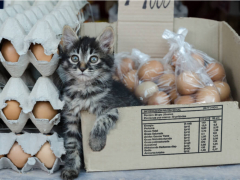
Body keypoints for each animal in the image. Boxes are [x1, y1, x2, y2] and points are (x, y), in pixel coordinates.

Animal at [58, 25, 142, 180]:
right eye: (74, 58)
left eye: (93, 59)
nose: (82, 68)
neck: (83, 90)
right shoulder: (70, 116)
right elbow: (71, 144)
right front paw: (71, 168)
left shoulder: (112, 107)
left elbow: (102, 121)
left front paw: (95, 143)